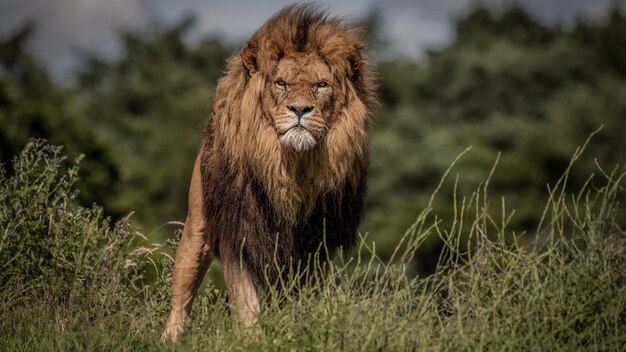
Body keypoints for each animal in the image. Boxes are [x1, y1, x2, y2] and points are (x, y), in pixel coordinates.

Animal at [162, 4, 376, 340]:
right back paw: (170, 337)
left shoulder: (317, 243)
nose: (300, 109)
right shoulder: (239, 230)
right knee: (181, 294)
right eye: (281, 84)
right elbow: (245, 303)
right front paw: (251, 340)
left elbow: (304, 299)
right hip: (197, 227)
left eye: (321, 85)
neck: (292, 167)